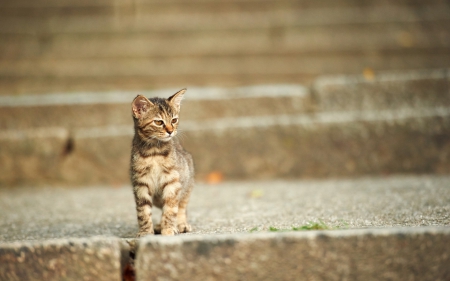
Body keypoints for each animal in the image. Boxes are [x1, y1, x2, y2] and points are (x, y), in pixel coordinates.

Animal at [129, 88, 194, 235]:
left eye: (174, 120)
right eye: (158, 122)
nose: (171, 131)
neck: (154, 152)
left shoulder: (172, 182)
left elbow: (170, 209)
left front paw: (169, 229)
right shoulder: (141, 183)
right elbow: (143, 211)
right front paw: (146, 232)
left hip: (186, 186)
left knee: (181, 207)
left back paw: (181, 224)